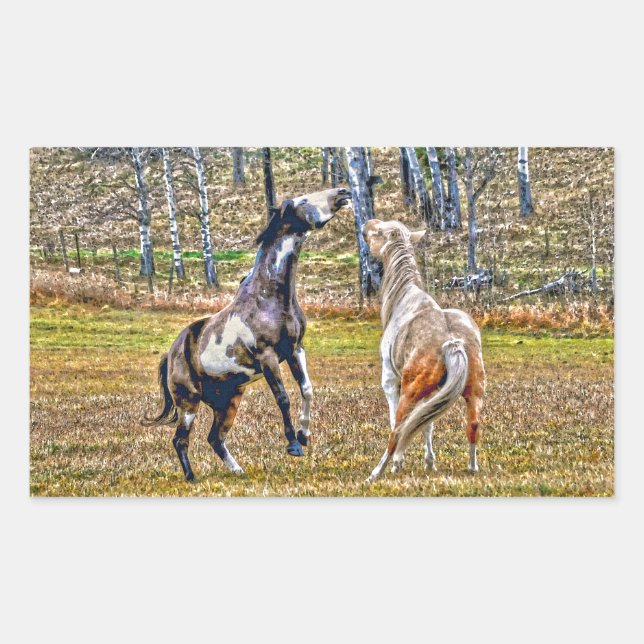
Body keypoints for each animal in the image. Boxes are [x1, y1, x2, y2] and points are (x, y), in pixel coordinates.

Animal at [142, 187, 352, 481]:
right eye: (304, 200)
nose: (342, 193)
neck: (270, 297)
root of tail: (170, 355)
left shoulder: (295, 350)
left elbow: (307, 389)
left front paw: (304, 434)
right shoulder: (267, 357)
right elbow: (283, 398)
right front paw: (293, 445)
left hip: (228, 403)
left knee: (214, 439)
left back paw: (238, 470)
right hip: (188, 403)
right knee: (180, 439)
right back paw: (191, 477)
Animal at [361, 219, 486, 482]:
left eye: (380, 231)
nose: (367, 224)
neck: (404, 298)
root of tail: (452, 342)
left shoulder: (391, 381)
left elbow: (400, 424)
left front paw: (399, 464)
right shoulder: (436, 391)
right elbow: (427, 424)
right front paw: (430, 463)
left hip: (410, 392)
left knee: (398, 430)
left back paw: (377, 472)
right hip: (474, 391)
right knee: (473, 425)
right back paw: (472, 467)